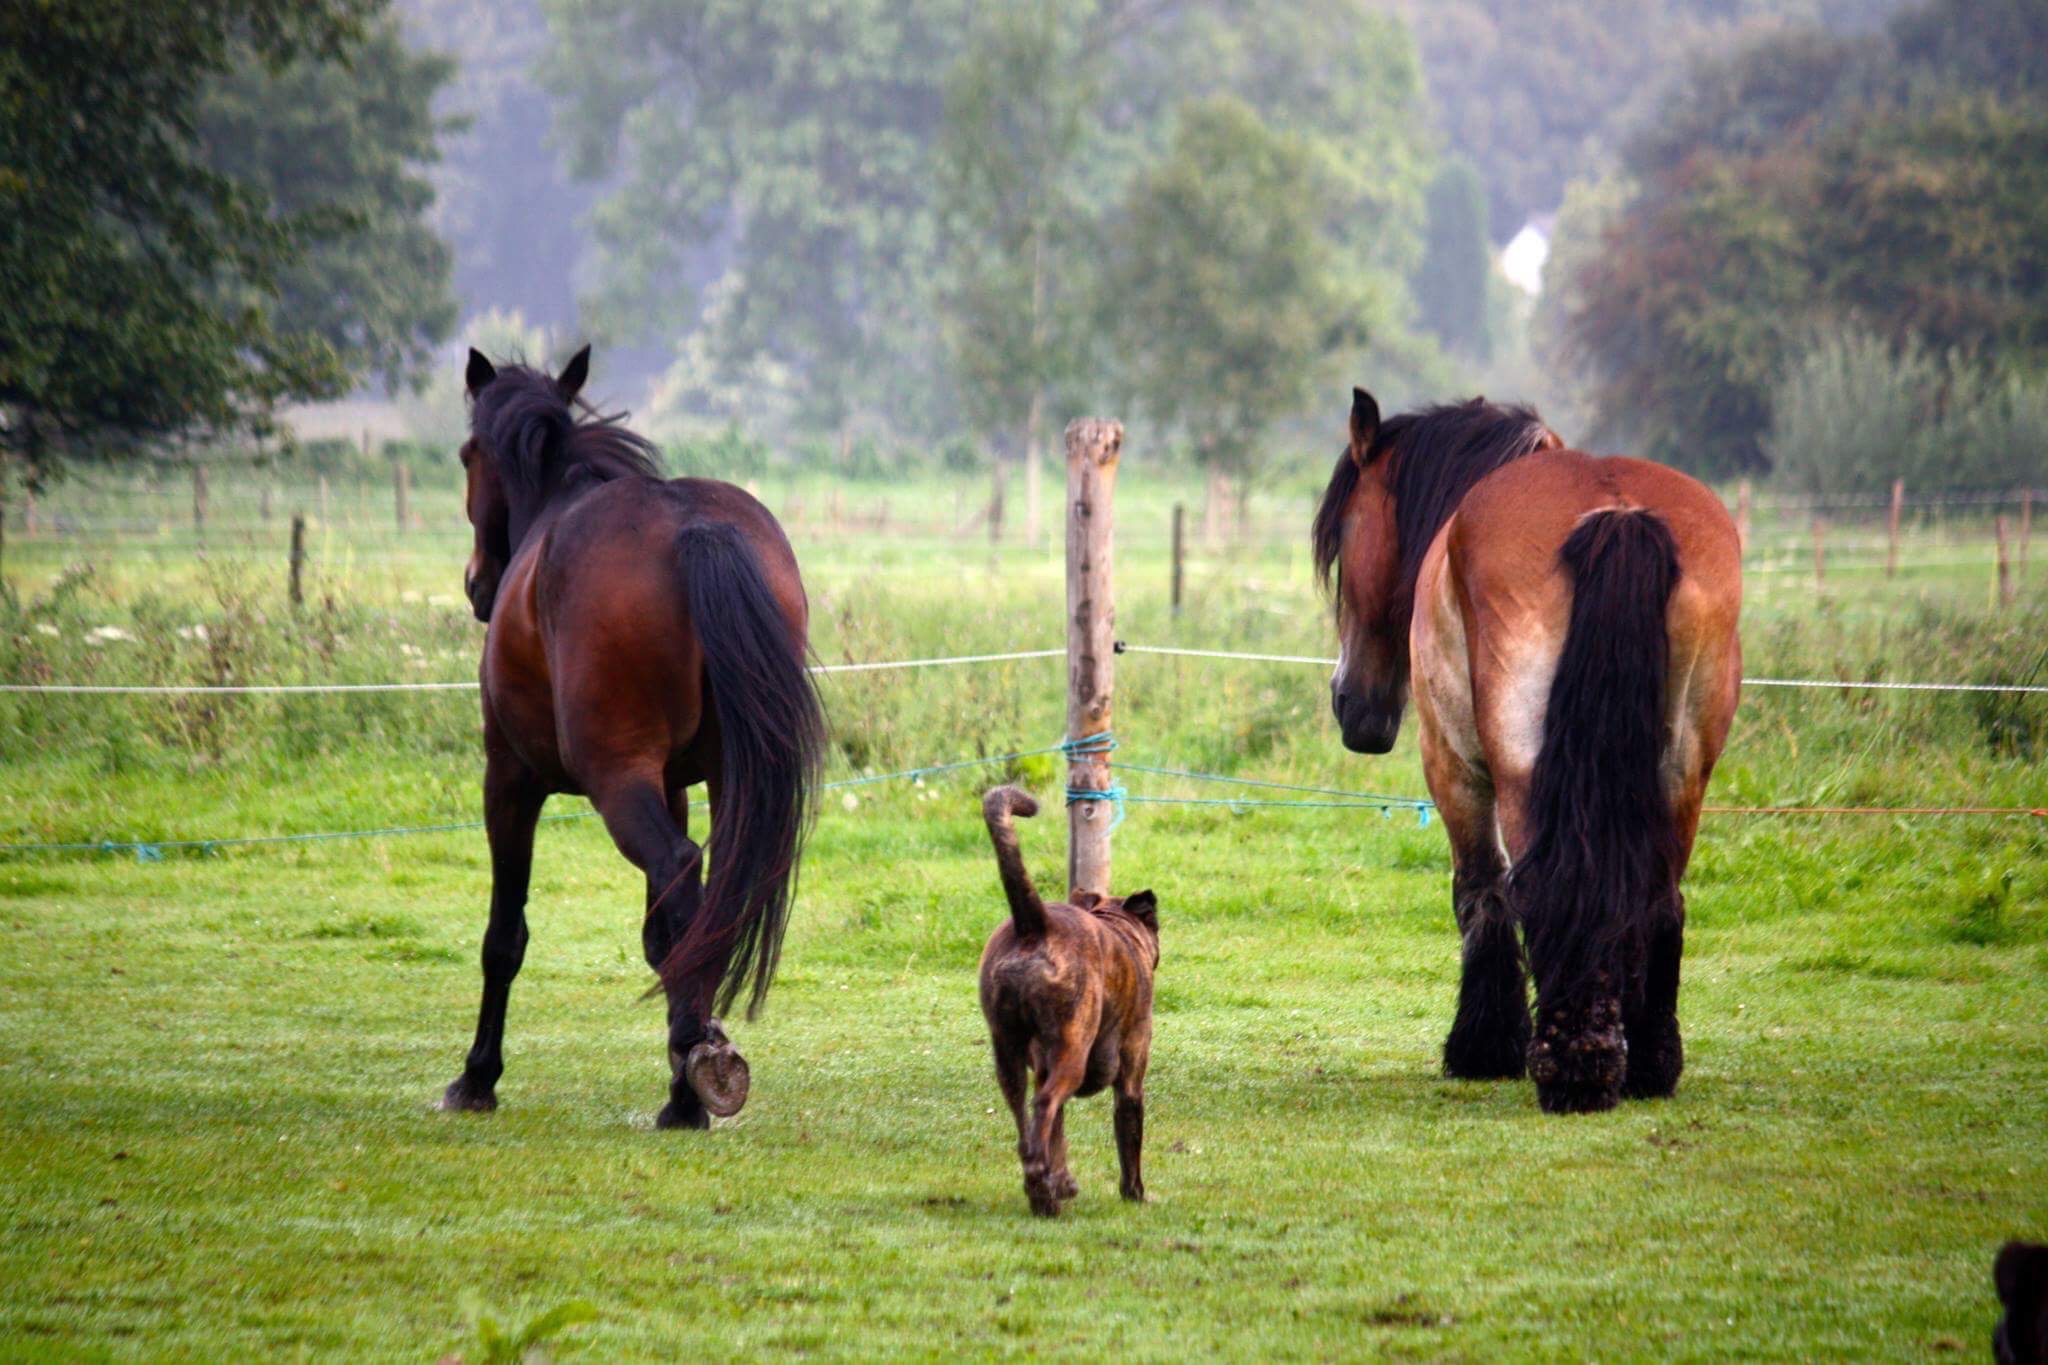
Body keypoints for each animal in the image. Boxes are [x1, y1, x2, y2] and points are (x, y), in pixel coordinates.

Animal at [440, 343, 823, 1129]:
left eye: (468, 455)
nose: (476, 584)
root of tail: (691, 528)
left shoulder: (509, 779)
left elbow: (504, 935)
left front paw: (477, 1077)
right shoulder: (672, 785)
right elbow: (657, 938)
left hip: (614, 779)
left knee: (680, 870)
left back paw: (696, 1066)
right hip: (727, 778)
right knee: (703, 896)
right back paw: (692, 1079)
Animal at [983, 785, 1163, 1219]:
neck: (1117, 926)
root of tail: (1034, 924)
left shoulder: (1040, 1065)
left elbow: (1056, 1133)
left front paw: (1062, 1176)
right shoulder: (1131, 1076)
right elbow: (1129, 1138)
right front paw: (1135, 1193)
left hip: (1008, 1053)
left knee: (1028, 1122)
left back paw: (1046, 1186)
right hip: (1072, 1051)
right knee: (1044, 1107)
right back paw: (1043, 1195)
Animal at [1318, 386, 1736, 1113]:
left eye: (1343, 539)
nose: (1349, 701)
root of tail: (1615, 514)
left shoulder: (1452, 764)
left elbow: (1480, 890)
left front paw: (1482, 1045)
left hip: (1518, 770)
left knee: (1545, 887)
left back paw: (1575, 1066)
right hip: (1684, 769)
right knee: (1659, 895)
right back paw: (1649, 1061)